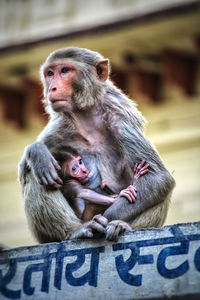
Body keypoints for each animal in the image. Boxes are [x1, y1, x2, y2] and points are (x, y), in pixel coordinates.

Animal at [18, 47, 175, 244]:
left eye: (65, 71)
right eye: (50, 73)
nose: (52, 87)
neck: (86, 117)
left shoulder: (120, 117)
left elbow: (157, 177)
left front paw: (110, 219)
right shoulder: (58, 128)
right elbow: (26, 165)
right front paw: (37, 152)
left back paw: (122, 226)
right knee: (35, 171)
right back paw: (75, 230)